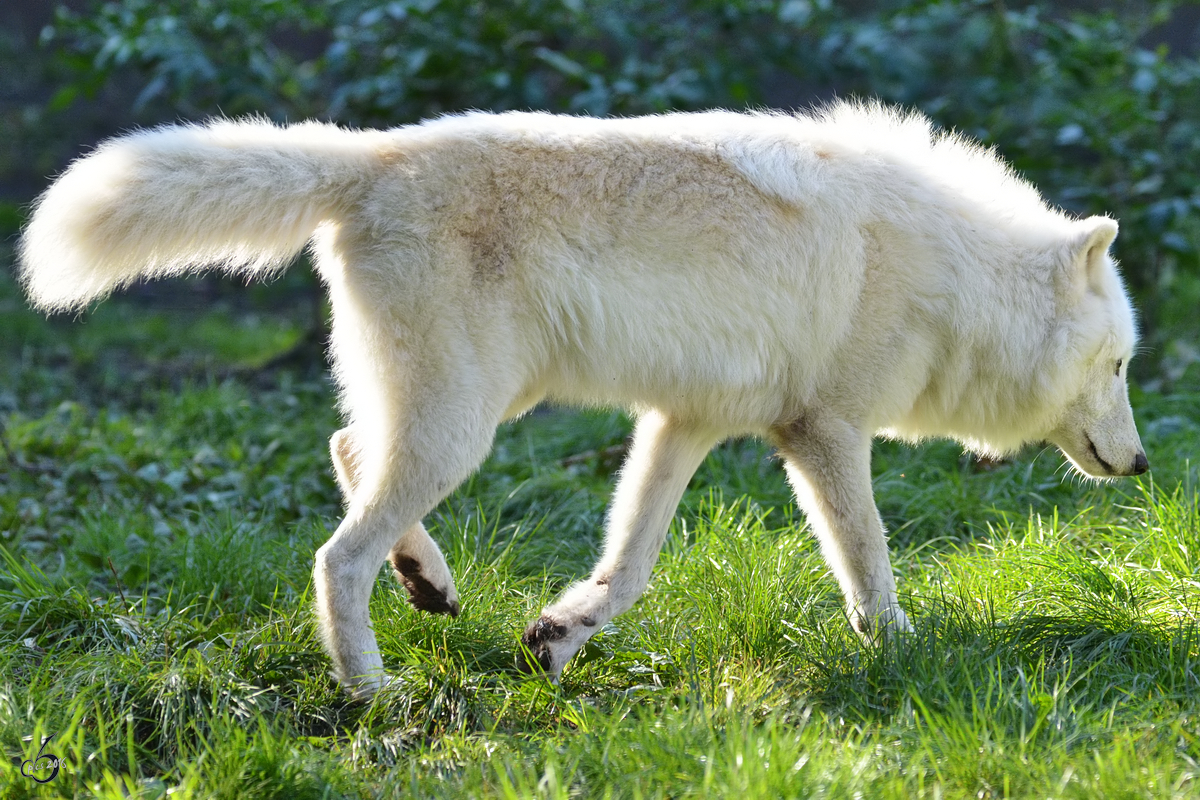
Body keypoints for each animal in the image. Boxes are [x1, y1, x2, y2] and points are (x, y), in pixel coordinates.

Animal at [16, 103, 1142, 695]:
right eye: (1126, 367)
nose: (1140, 463)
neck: (955, 277)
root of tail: (372, 154)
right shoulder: (823, 433)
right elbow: (869, 560)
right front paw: (905, 652)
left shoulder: (685, 425)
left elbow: (629, 563)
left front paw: (561, 631)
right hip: (466, 426)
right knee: (335, 551)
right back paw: (371, 686)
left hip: (469, 410)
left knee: (343, 449)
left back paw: (428, 582)